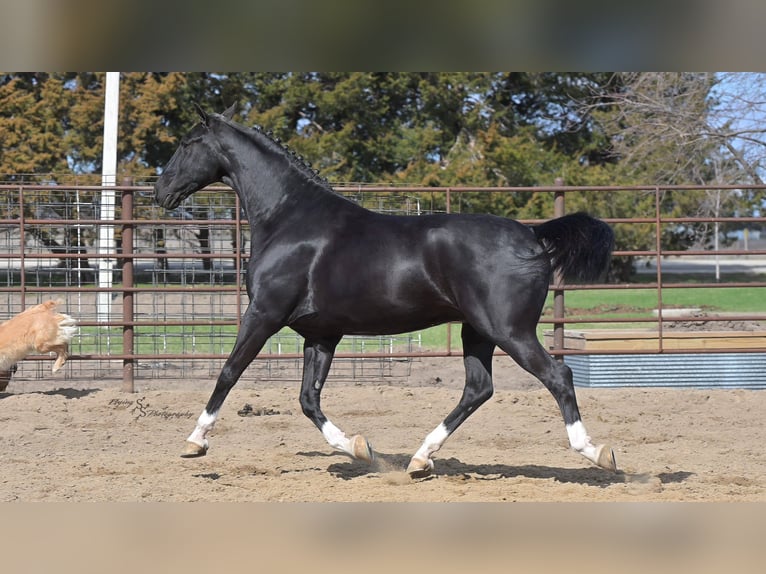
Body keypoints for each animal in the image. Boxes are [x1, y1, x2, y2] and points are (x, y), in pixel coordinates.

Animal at [154, 104, 617, 478]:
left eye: (188, 143)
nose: (160, 193)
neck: (290, 218)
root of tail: (533, 236)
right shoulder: (321, 334)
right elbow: (308, 398)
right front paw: (359, 449)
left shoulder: (263, 315)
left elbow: (229, 372)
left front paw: (195, 442)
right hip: (477, 331)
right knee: (478, 388)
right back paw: (420, 459)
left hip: (510, 331)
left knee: (557, 376)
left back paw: (596, 453)